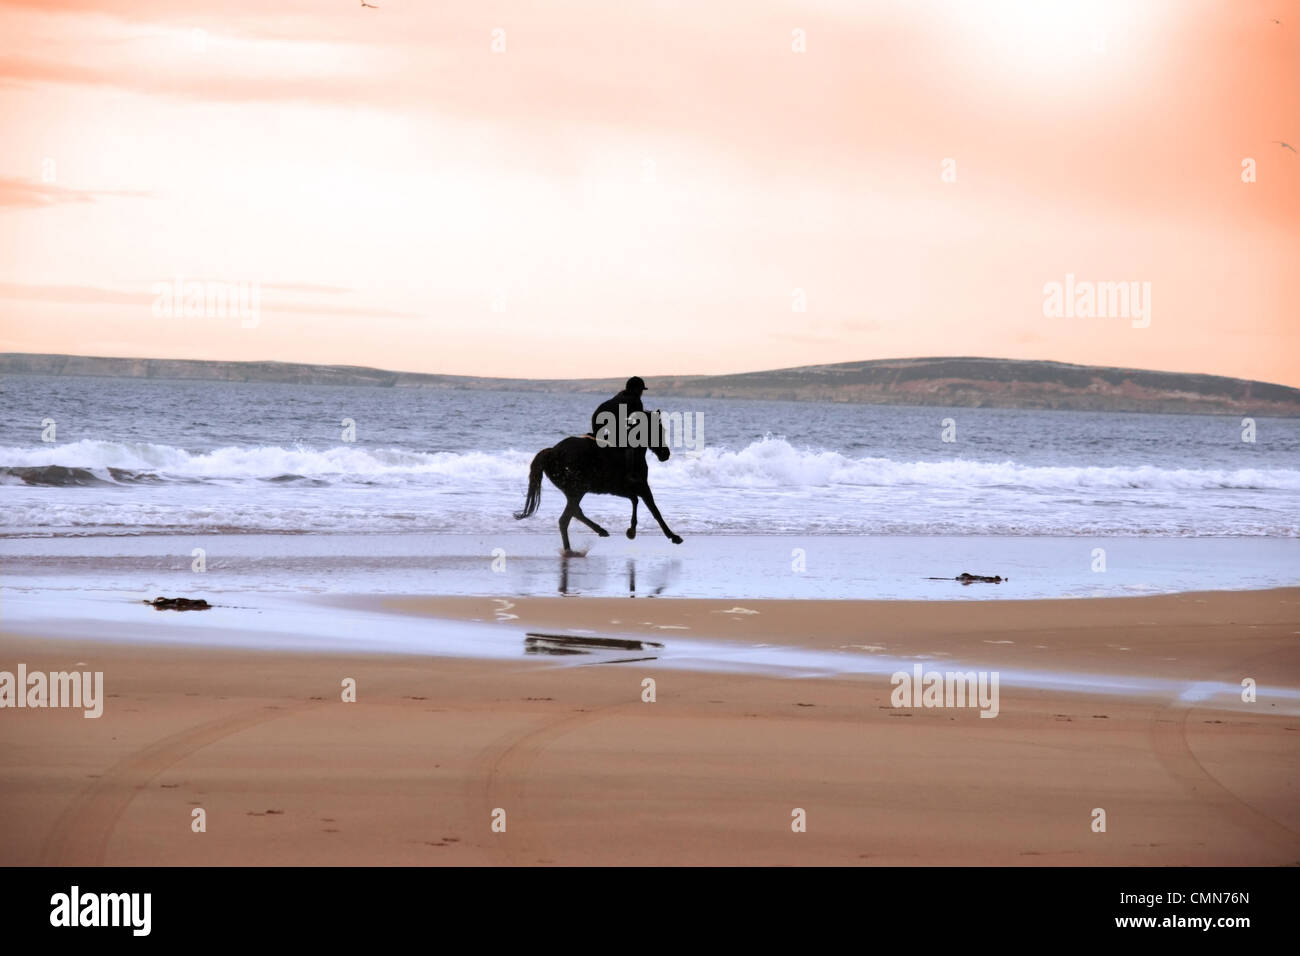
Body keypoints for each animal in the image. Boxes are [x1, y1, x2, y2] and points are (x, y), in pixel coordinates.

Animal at [512, 408, 686, 556]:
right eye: (657, 431)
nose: (665, 454)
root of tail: (552, 452)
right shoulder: (642, 487)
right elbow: (655, 511)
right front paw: (673, 536)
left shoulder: (623, 489)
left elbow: (635, 500)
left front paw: (631, 531)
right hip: (578, 490)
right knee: (565, 519)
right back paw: (571, 550)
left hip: (574, 492)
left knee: (575, 512)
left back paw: (599, 531)